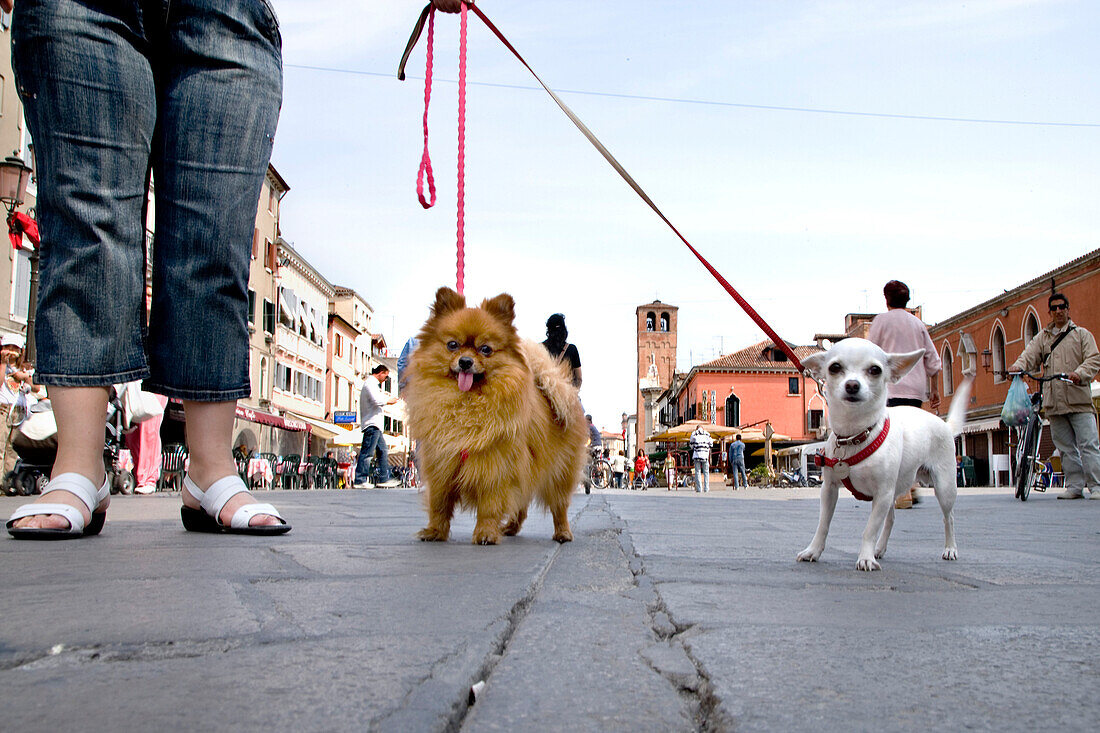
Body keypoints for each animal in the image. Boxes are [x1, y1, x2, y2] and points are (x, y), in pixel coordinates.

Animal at [404, 286, 589, 541]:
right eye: (452, 345)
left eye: (486, 349)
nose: (465, 361)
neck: (466, 404)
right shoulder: (441, 465)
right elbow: (439, 504)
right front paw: (435, 531)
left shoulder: (495, 467)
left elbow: (489, 506)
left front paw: (485, 533)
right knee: (521, 505)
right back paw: (511, 527)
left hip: (559, 473)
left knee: (559, 506)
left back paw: (562, 532)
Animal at [800, 336, 972, 572]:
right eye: (834, 367)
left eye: (875, 370)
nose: (852, 385)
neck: (856, 434)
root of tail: (945, 425)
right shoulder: (829, 490)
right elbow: (823, 524)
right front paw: (813, 550)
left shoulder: (882, 494)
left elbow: (870, 529)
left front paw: (865, 557)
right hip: (894, 493)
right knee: (890, 520)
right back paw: (879, 549)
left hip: (944, 488)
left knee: (949, 518)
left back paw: (950, 549)